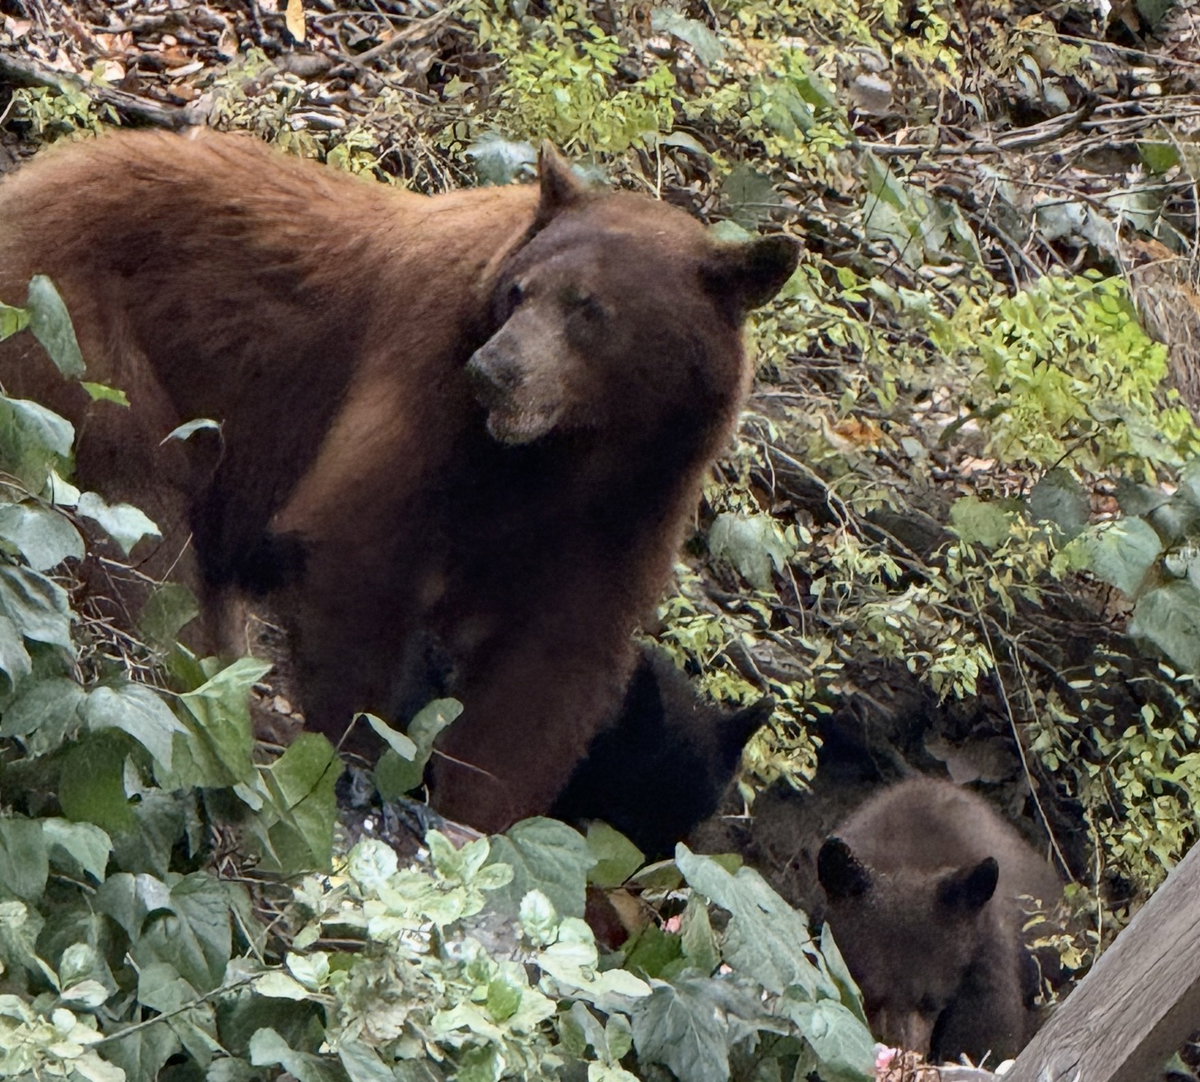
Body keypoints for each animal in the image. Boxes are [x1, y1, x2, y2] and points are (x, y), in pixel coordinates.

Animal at [0, 129, 798, 831]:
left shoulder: (638, 497)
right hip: (72, 331)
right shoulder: (426, 374)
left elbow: (550, 665)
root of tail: (26, 180)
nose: (495, 371)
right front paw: (361, 763)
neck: (564, 452)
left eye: (589, 310)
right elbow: (359, 548)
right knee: (138, 525)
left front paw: (480, 813)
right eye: (519, 291)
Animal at [816, 777, 1063, 1064]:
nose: (900, 1054)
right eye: (868, 993)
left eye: (931, 1001)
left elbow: (990, 1035)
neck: (909, 856)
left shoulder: (985, 948)